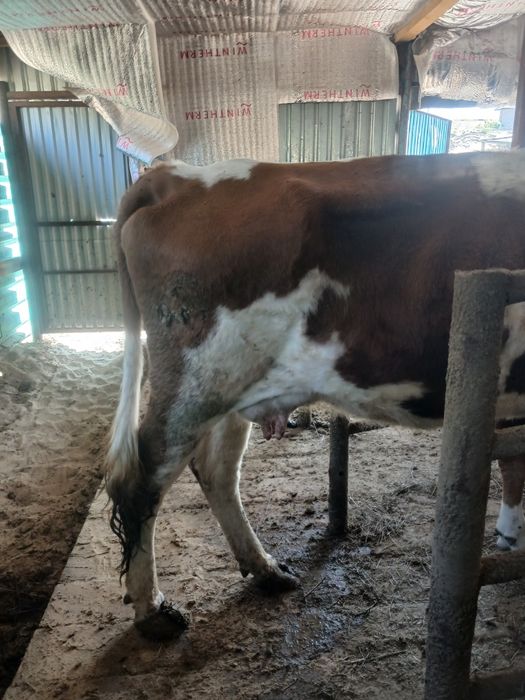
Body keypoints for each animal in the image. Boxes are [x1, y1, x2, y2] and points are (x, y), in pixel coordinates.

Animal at [106, 152, 525, 641]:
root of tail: (177, 175)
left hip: (229, 390)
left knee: (216, 472)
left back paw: (266, 569)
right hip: (194, 386)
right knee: (142, 481)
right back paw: (153, 609)